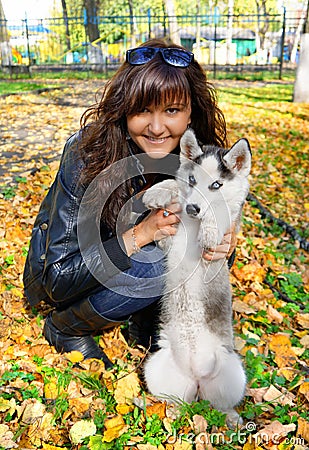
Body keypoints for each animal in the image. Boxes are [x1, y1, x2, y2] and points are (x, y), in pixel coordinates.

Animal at [142, 128, 250, 424]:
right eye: (192, 180)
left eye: (216, 185)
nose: (192, 209)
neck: (192, 222)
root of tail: (197, 376)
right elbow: (173, 184)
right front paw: (157, 192)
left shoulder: (232, 219)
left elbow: (221, 213)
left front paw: (209, 228)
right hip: (155, 367)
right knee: (179, 401)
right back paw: (170, 412)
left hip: (234, 372)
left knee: (220, 404)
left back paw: (231, 418)